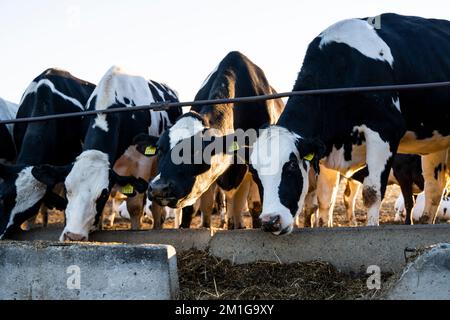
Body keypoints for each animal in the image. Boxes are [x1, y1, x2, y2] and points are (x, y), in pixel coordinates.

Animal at [34, 67, 183, 242]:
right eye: (66, 189)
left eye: (103, 193)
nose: (73, 236)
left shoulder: (142, 165)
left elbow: (134, 207)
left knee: (156, 206)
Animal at [250, 13, 450, 235]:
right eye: (254, 173)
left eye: (292, 165)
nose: (270, 221)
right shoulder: (326, 146)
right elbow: (325, 200)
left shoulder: (384, 130)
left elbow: (372, 193)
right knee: (434, 189)